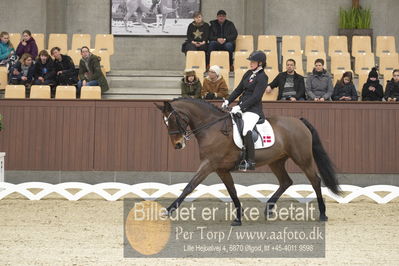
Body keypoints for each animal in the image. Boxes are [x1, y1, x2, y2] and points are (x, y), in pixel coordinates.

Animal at [155, 96, 340, 225]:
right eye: (165, 123)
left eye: (173, 120)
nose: (178, 145)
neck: (212, 128)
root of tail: (299, 122)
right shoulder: (221, 169)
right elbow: (232, 191)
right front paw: (238, 217)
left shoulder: (209, 164)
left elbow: (189, 186)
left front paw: (168, 211)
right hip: (276, 161)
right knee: (286, 181)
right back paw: (268, 209)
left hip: (302, 158)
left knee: (315, 180)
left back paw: (322, 214)